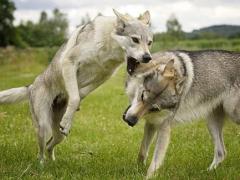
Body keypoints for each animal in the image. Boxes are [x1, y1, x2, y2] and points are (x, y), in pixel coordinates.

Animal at [0, 9, 153, 165]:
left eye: (149, 43)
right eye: (135, 39)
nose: (148, 58)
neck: (108, 48)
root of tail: (30, 85)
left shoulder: (104, 76)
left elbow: (80, 94)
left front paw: (72, 111)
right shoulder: (69, 63)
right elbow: (74, 98)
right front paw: (69, 117)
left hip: (58, 135)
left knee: (50, 145)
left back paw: (53, 163)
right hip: (43, 126)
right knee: (41, 152)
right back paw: (42, 165)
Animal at [123, 50, 240, 178]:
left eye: (154, 108)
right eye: (143, 96)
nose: (130, 121)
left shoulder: (164, 127)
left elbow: (155, 162)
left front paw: (148, 177)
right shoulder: (152, 122)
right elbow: (142, 152)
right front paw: (138, 170)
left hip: (232, 113)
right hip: (211, 122)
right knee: (221, 152)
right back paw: (207, 172)